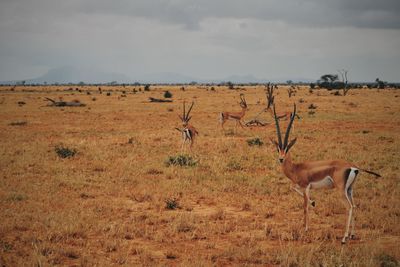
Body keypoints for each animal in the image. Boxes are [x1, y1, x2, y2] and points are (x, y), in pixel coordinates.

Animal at [270, 103, 380, 244]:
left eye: (287, 148)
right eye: (278, 148)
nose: (281, 159)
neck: (296, 168)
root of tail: (353, 167)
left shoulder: (305, 187)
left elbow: (305, 206)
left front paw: (306, 228)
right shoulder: (302, 187)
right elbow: (294, 190)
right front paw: (313, 202)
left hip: (341, 191)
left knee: (349, 207)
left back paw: (344, 238)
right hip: (350, 189)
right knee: (354, 206)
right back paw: (352, 234)